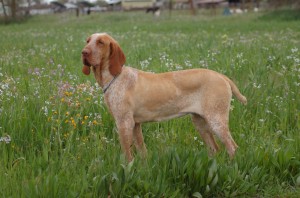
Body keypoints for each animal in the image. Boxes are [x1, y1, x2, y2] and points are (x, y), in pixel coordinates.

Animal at [81, 32, 247, 162]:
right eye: (88, 41)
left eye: (100, 42)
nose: (84, 52)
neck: (114, 77)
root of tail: (221, 76)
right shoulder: (135, 125)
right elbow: (142, 151)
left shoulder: (124, 123)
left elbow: (128, 156)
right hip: (199, 121)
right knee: (215, 148)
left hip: (216, 120)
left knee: (233, 148)